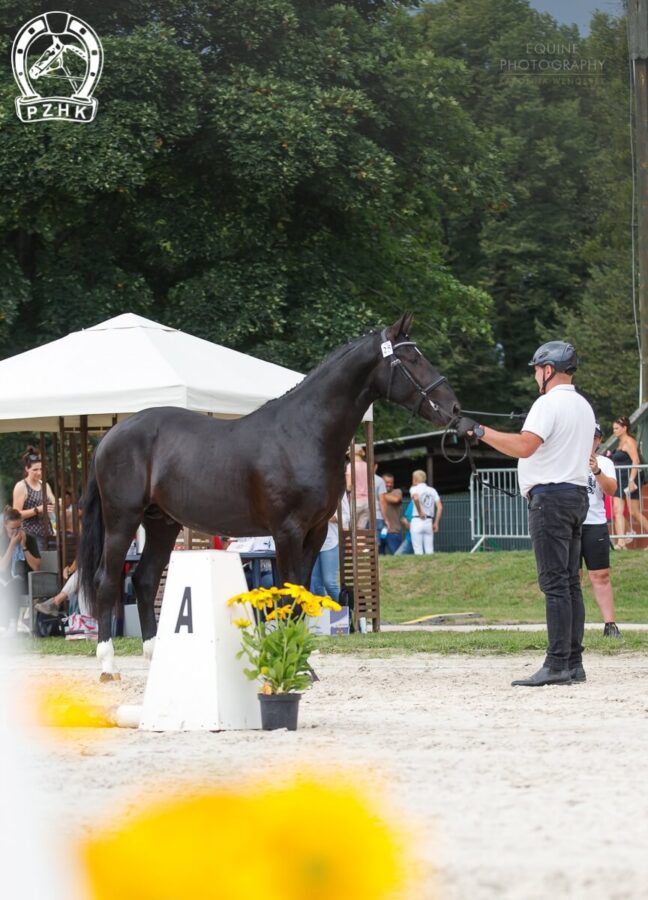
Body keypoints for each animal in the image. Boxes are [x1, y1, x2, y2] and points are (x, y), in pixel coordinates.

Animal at [78, 316, 458, 676]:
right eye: (411, 359)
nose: (453, 409)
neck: (304, 432)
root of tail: (111, 434)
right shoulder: (287, 531)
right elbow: (289, 592)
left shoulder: (316, 532)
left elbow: (301, 593)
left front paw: (301, 661)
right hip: (122, 520)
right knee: (107, 581)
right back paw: (108, 665)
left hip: (162, 523)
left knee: (143, 579)